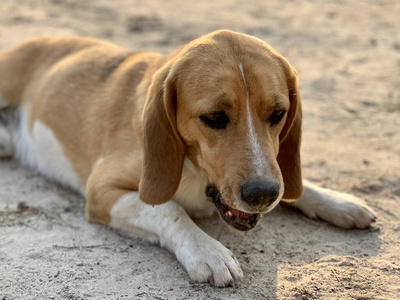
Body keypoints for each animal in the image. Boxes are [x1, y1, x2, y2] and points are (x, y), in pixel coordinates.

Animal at [0, 29, 376, 286]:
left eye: (278, 113)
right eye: (214, 118)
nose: (263, 195)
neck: (195, 173)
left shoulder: (277, 173)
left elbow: (293, 182)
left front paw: (337, 201)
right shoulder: (101, 191)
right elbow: (170, 209)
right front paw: (207, 250)